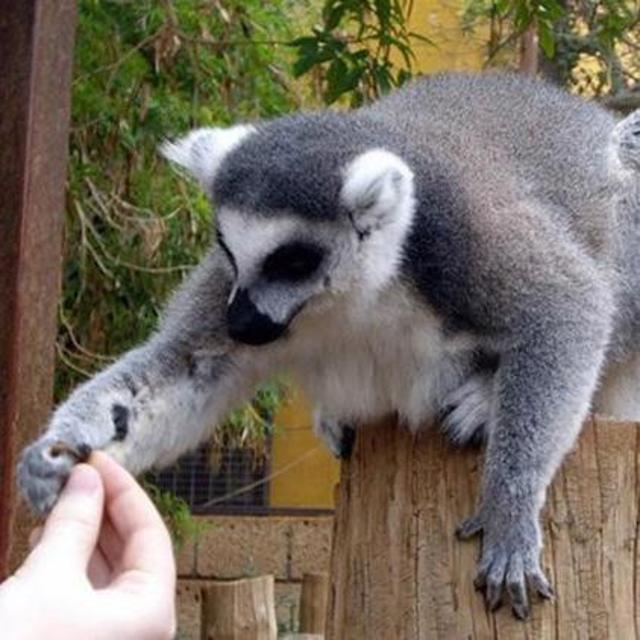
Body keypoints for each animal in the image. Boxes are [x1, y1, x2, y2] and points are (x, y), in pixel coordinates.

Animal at [17, 72, 640, 618]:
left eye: (295, 260)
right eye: (228, 246)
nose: (242, 323)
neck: (354, 296)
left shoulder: (463, 235)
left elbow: (569, 306)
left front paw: (510, 509)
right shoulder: (227, 282)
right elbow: (187, 363)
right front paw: (57, 453)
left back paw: (485, 398)